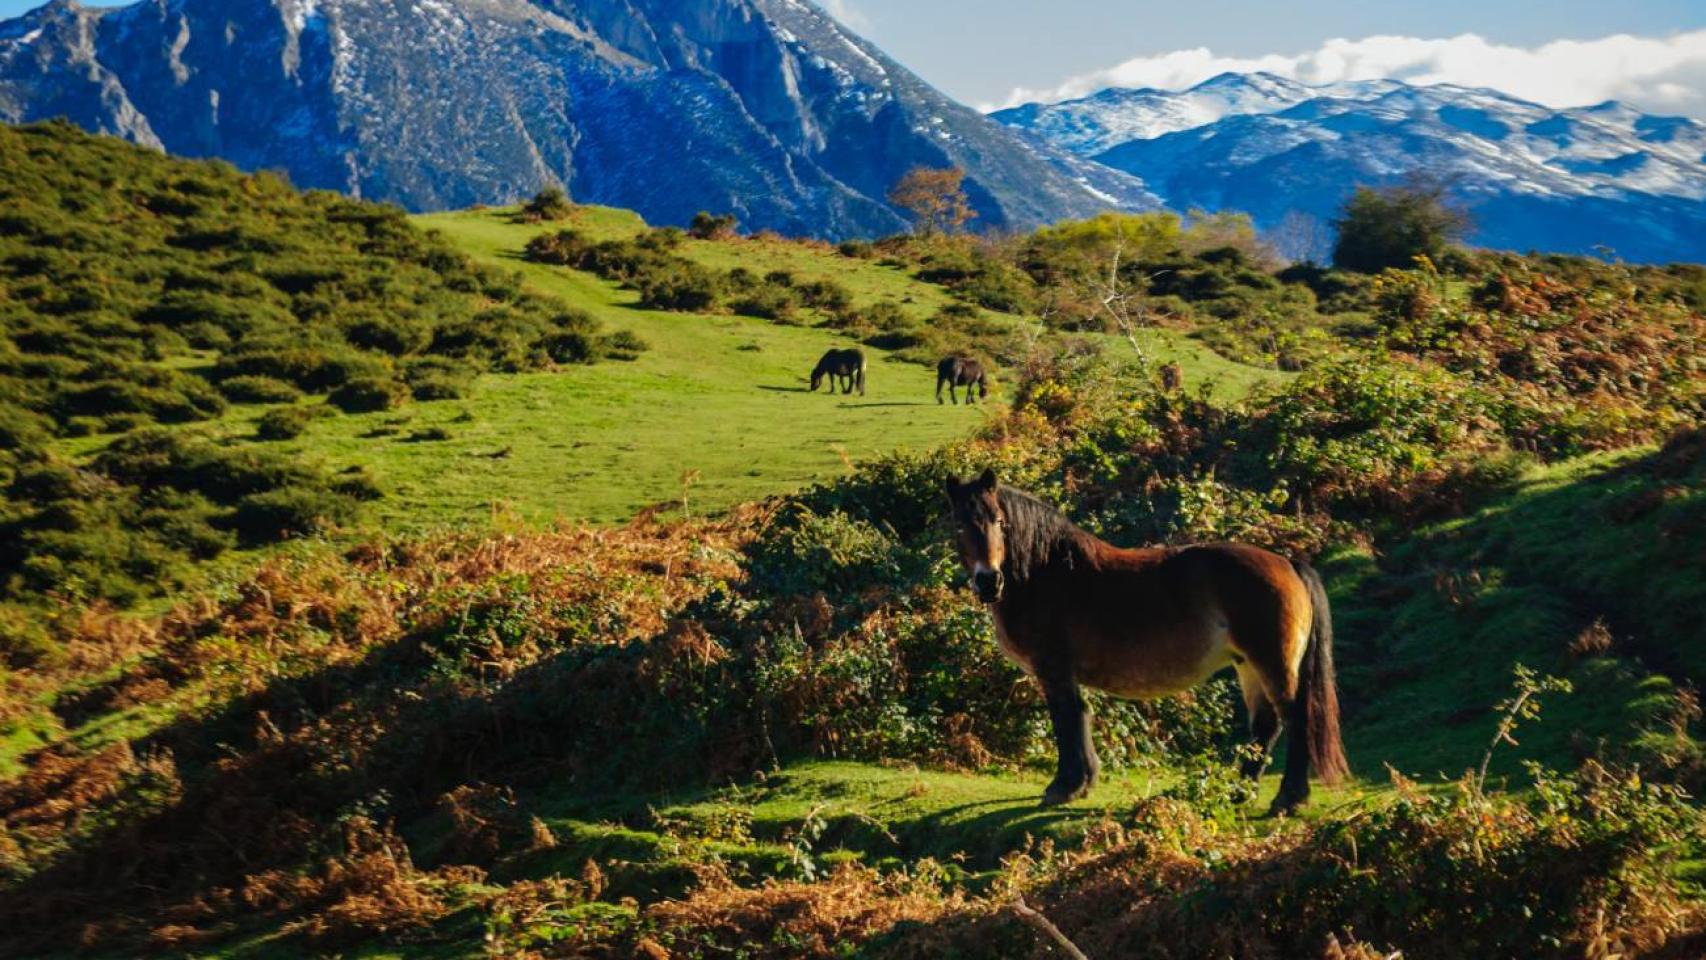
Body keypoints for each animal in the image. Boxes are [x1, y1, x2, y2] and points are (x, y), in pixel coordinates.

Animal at [948, 470, 1344, 815]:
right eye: (961, 526)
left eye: (999, 521)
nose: (988, 581)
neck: (1044, 571)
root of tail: (1288, 563)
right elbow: (1081, 715)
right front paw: (1084, 782)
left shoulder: (1054, 670)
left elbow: (1065, 719)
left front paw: (1063, 786)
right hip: (1247, 664)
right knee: (1265, 726)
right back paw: (1238, 793)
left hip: (1272, 663)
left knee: (1294, 718)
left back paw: (1289, 799)